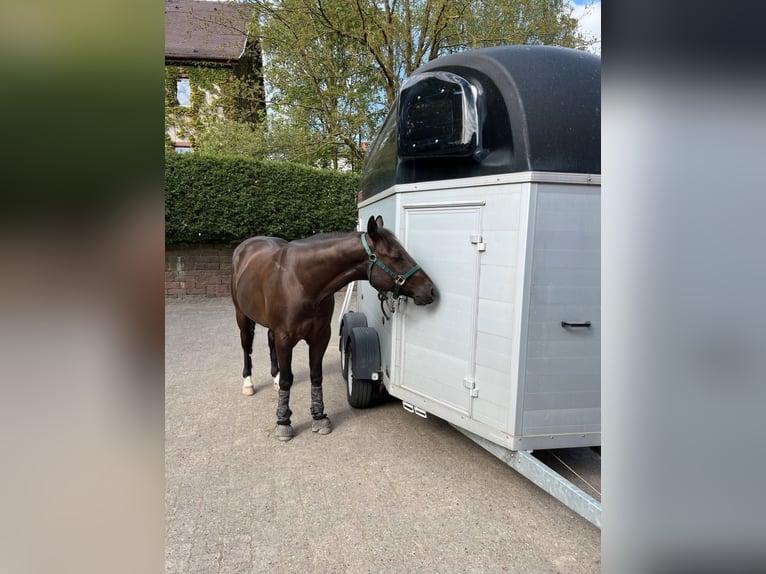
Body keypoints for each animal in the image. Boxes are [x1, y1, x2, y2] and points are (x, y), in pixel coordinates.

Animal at [231, 214, 436, 444]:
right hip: (241, 315)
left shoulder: (320, 336)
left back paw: (273, 377)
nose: (430, 290)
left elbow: (315, 376)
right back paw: (248, 382)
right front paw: (283, 422)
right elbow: (287, 380)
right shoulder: (285, 337)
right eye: (397, 256)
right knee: (246, 345)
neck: (301, 280)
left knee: (269, 341)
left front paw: (319, 417)